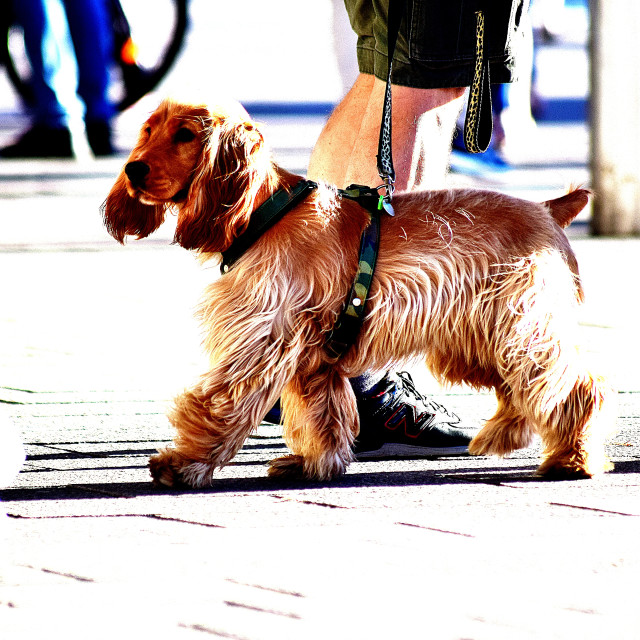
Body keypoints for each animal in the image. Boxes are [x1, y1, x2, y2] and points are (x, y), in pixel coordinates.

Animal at [104, 96, 616, 484]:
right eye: (148, 129)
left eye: (186, 135)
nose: (133, 169)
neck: (265, 211)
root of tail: (547, 208)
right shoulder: (312, 356)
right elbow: (322, 416)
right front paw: (314, 465)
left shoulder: (261, 341)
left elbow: (220, 404)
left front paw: (184, 463)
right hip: (481, 337)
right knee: (524, 391)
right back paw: (503, 437)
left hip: (519, 327)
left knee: (575, 387)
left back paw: (572, 460)